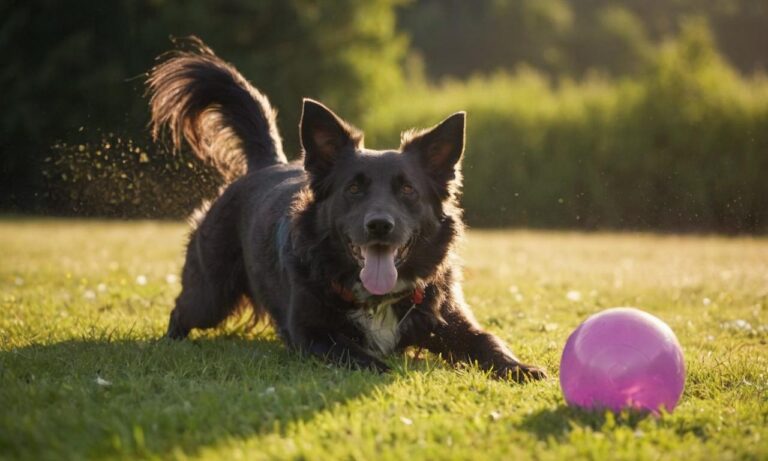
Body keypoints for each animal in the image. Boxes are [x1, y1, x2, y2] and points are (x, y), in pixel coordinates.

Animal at [147, 37, 544, 380]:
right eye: (353, 189)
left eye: (408, 190)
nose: (380, 225)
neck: (376, 298)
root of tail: (266, 164)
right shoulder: (310, 333)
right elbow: (353, 352)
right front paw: (385, 369)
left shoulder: (449, 318)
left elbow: (487, 340)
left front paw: (520, 368)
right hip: (209, 296)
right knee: (181, 310)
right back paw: (170, 343)